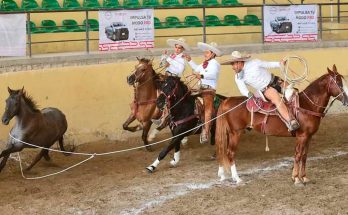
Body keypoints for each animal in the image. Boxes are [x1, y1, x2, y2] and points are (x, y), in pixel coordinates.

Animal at [215, 64, 348, 186]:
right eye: (338, 83)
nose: (347, 100)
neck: (306, 105)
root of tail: (227, 100)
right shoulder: (302, 136)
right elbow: (298, 155)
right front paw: (296, 179)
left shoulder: (309, 136)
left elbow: (304, 156)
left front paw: (304, 177)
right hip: (235, 133)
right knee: (230, 153)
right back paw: (237, 178)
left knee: (223, 152)